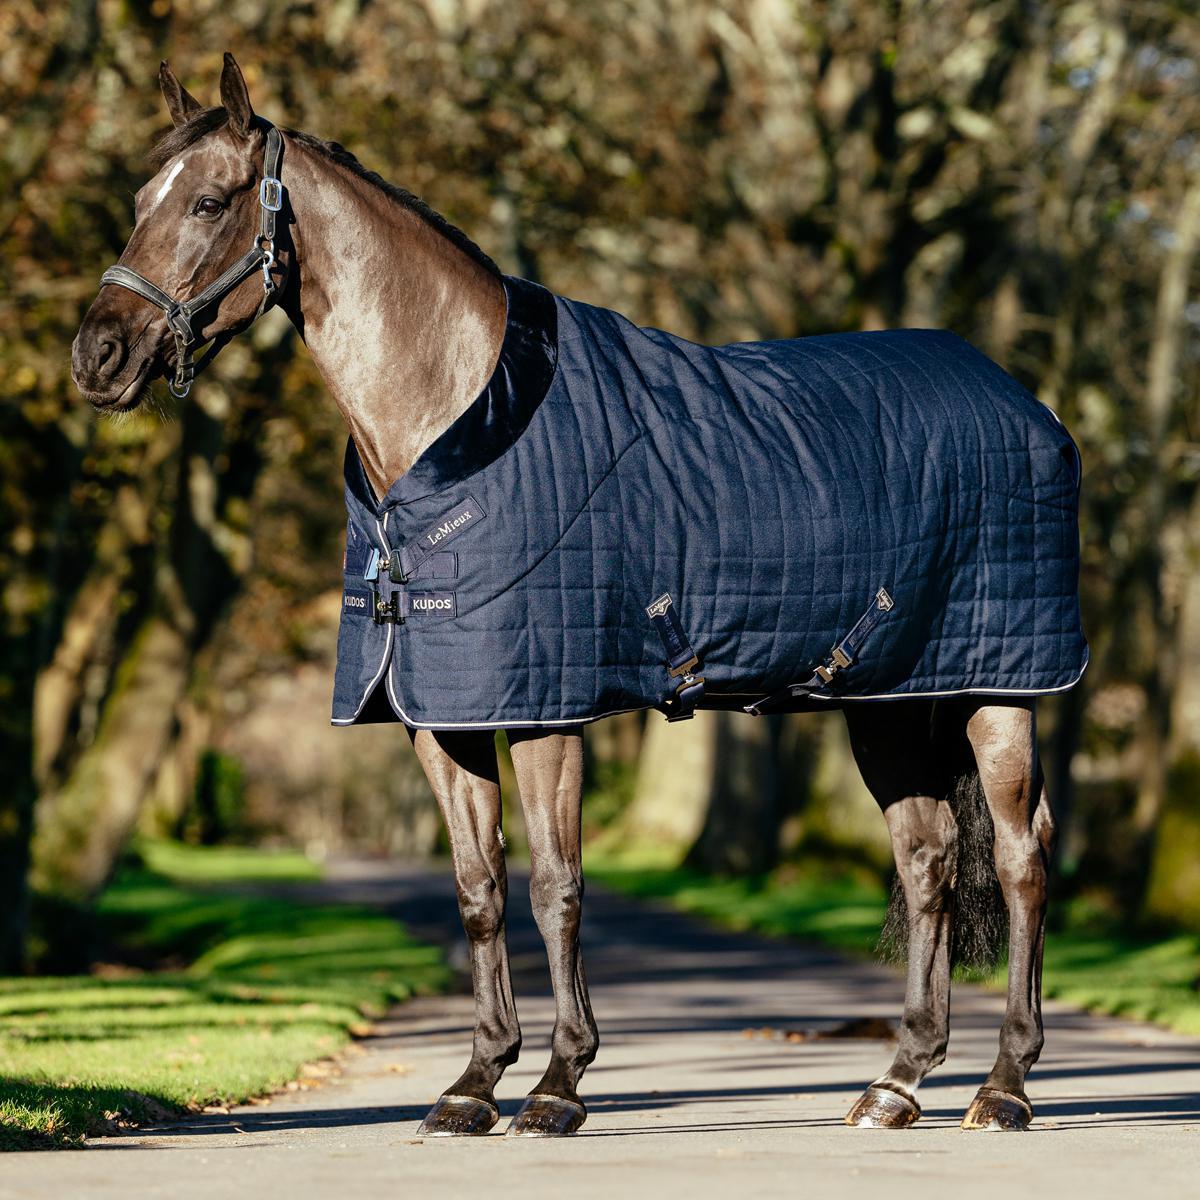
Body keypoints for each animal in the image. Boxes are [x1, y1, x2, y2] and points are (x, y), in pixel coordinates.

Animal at [72, 54, 1084, 1137]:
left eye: (208, 201)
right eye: (137, 201)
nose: (97, 355)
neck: (457, 420)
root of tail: (1019, 400)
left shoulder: (544, 705)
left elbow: (556, 885)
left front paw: (557, 1085)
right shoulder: (442, 713)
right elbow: (478, 888)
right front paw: (472, 1084)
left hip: (999, 691)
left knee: (1020, 859)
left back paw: (1005, 1086)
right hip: (888, 700)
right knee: (927, 859)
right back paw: (895, 1084)